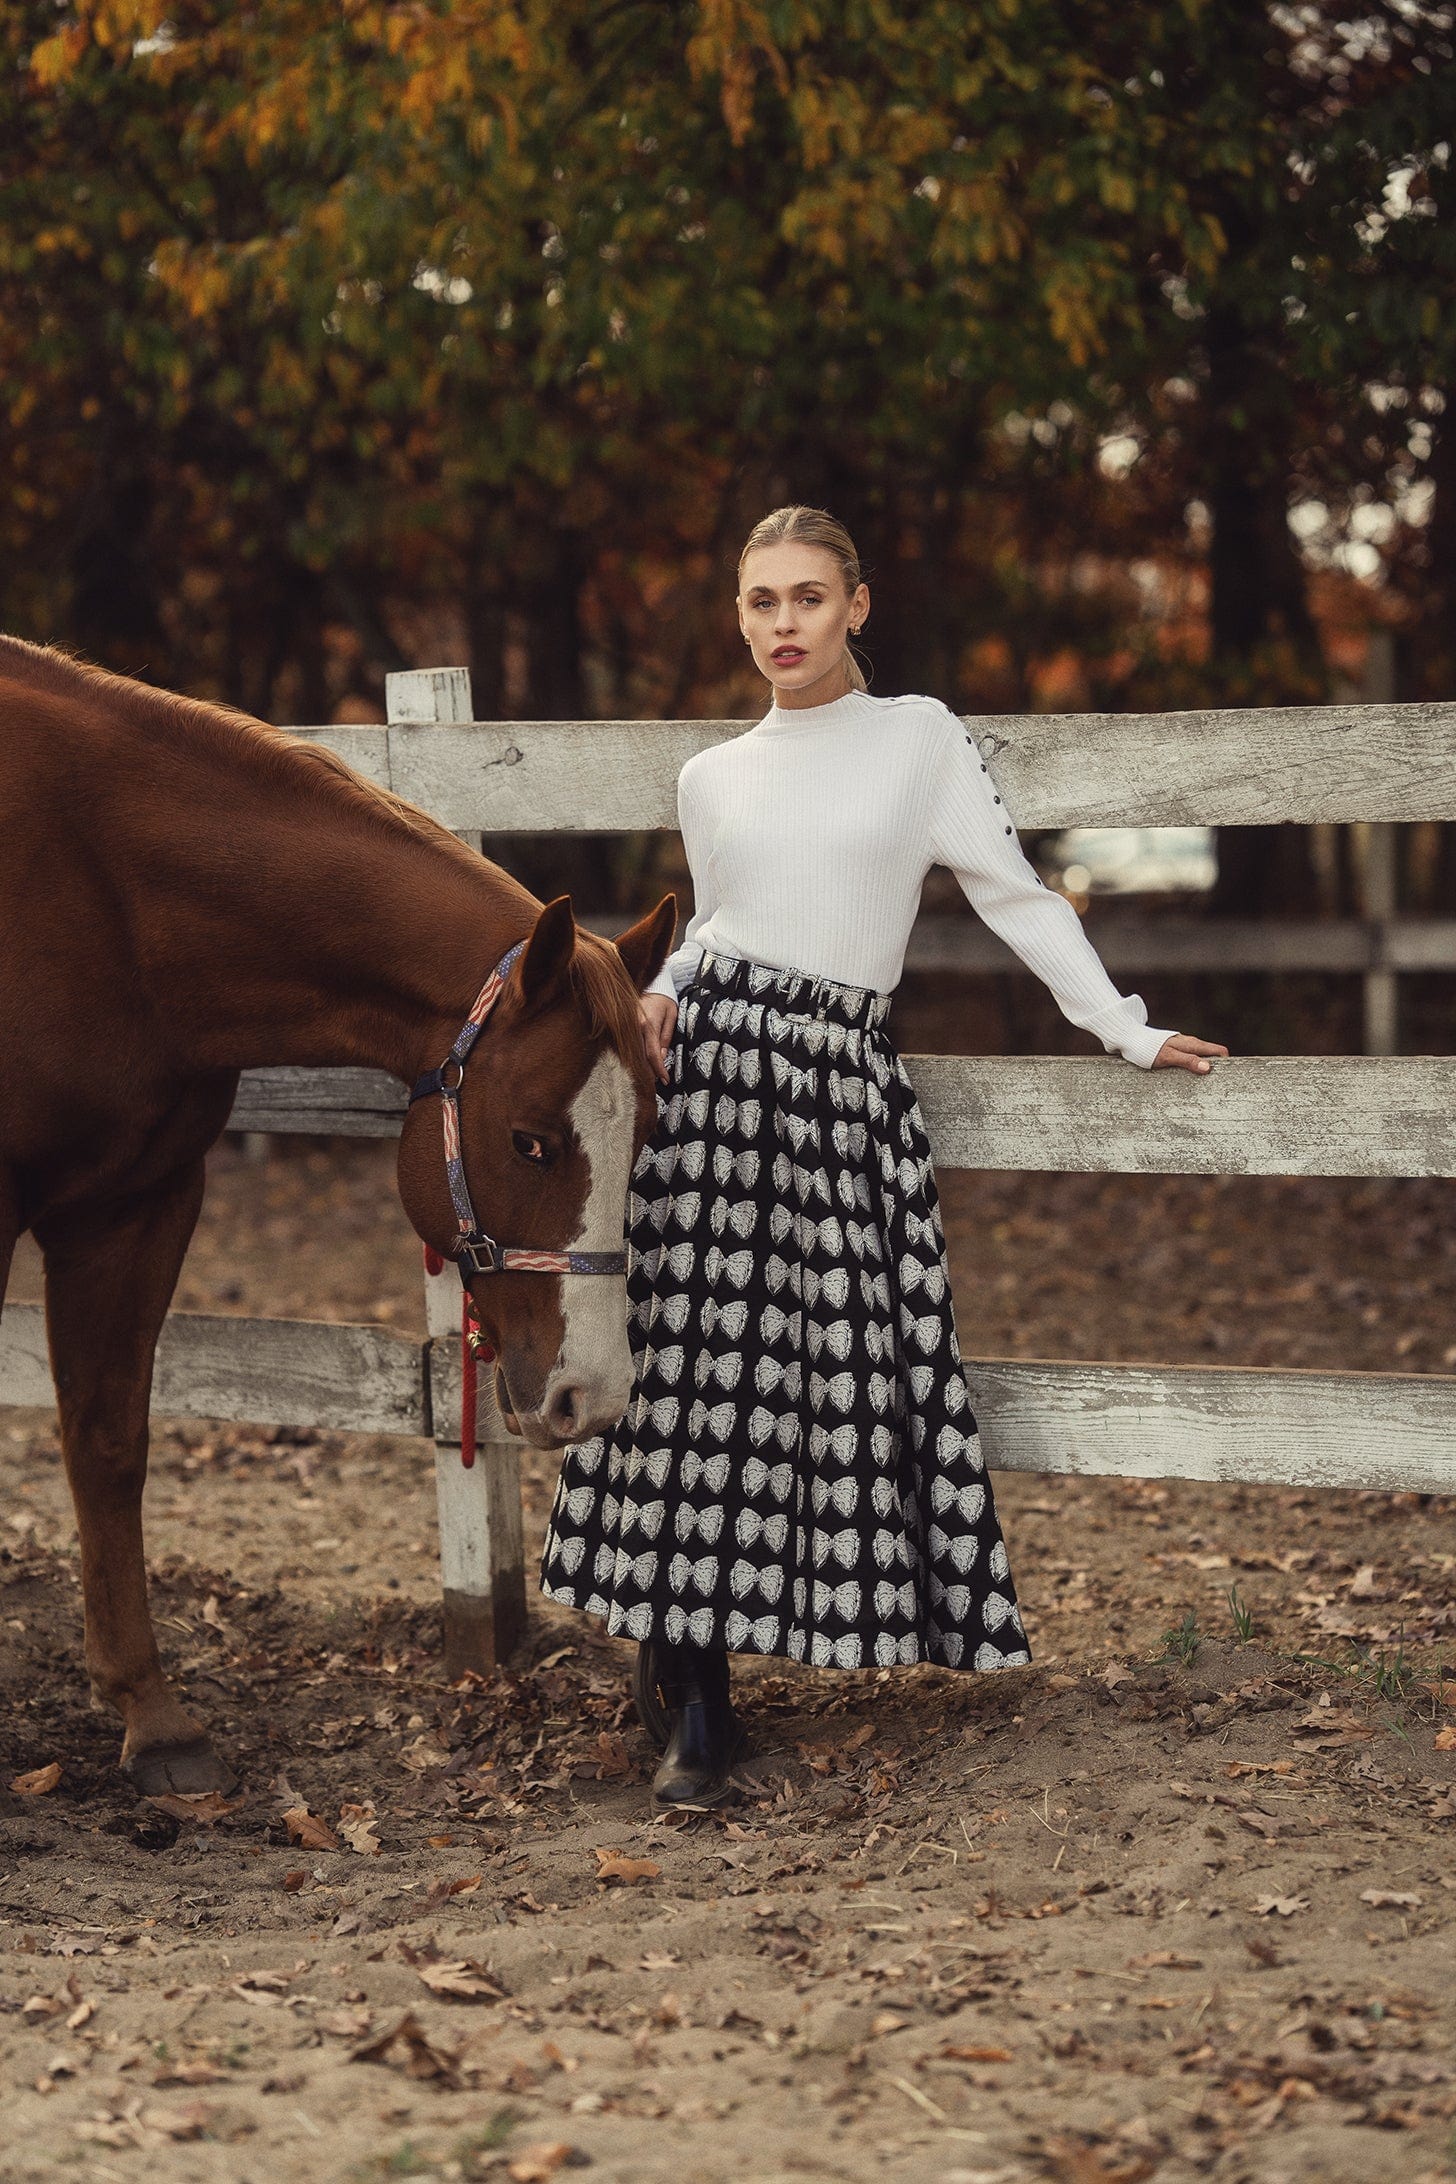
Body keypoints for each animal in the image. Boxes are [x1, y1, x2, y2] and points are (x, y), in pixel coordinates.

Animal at [0, 637, 672, 1799]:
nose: (595, 1395)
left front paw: (153, 1719)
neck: (98, 893)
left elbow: (108, 1440)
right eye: (531, 1141)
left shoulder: (136, 1202)